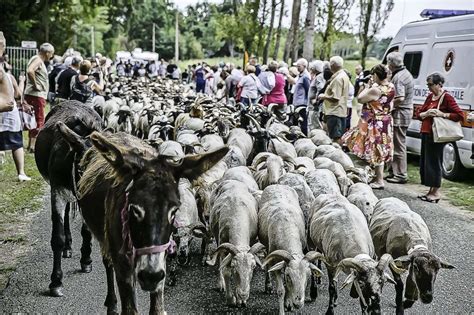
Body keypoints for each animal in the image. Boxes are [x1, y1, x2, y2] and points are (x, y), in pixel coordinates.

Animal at [258, 185, 324, 315]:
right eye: (289, 276)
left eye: (309, 275)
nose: (298, 303)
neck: (287, 230)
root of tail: (277, 185)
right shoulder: (275, 261)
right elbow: (281, 290)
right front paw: (283, 309)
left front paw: (288, 303)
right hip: (266, 248)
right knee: (267, 266)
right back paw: (268, 285)